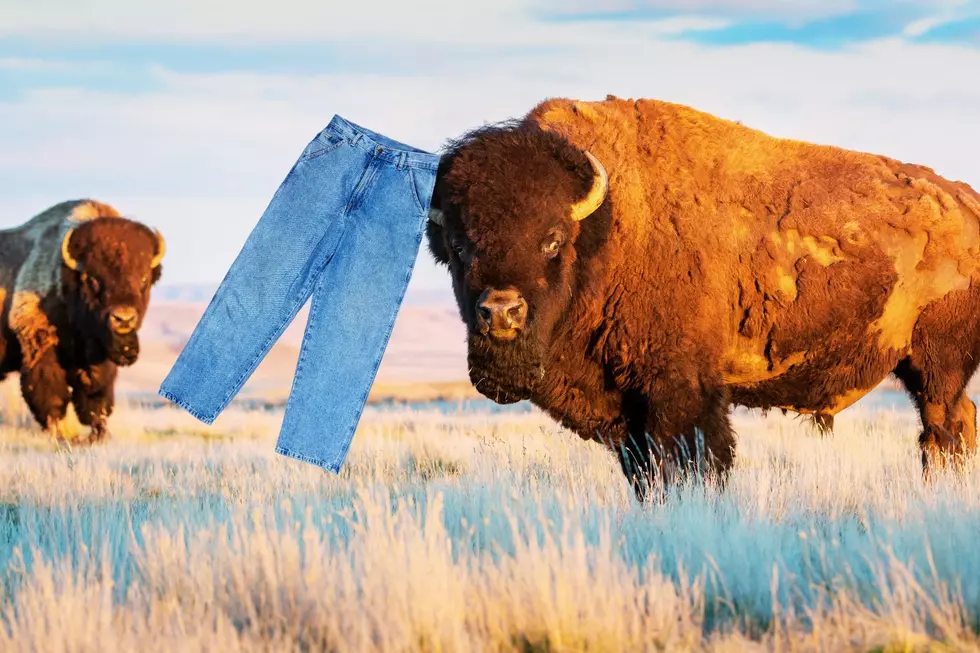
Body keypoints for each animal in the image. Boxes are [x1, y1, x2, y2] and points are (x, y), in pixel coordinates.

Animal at [0, 199, 165, 443]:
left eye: (144, 278)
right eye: (93, 279)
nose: (123, 319)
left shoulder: (98, 364)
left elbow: (96, 401)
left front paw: (99, 434)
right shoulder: (41, 348)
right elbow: (52, 397)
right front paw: (60, 434)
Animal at [425, 95, 980, 501]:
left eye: (551, 240)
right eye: (458, 246)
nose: (501, 312)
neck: (610, 227)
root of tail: (966, 203)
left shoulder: (681, 390)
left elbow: (697, 462)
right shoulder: (628, 413)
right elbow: (645, 472)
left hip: (937, 363)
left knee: (944, 428)